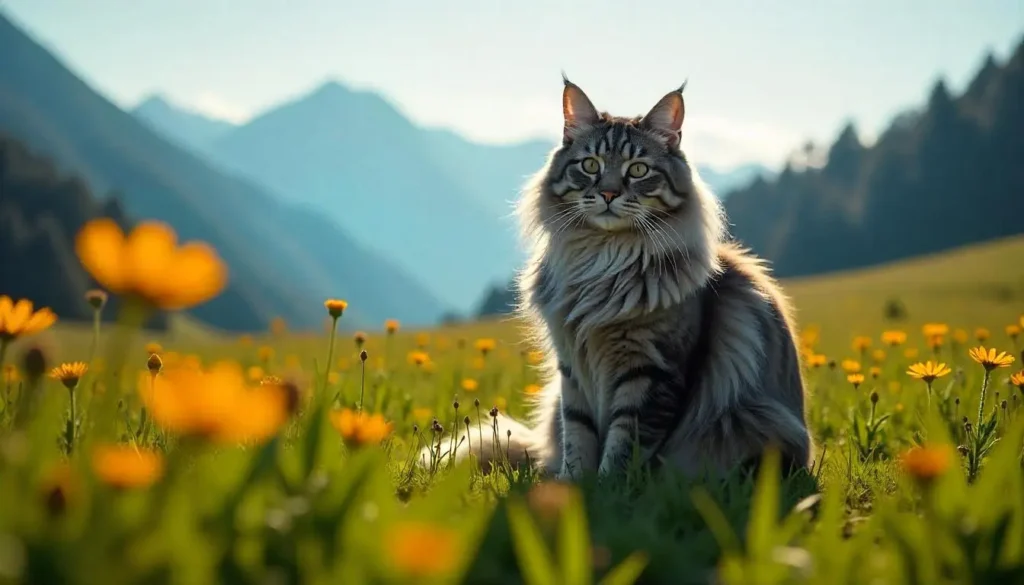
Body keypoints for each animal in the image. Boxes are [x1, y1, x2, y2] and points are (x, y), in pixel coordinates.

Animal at [419, 77, 811, 481]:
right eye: (590, 165)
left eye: (637, 170)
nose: (608, 193)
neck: (601, 262)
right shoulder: (572, 368)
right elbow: (578, 434)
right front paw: (572, 484)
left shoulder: (651, 371)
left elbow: (625, 442)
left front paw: (608, 487)